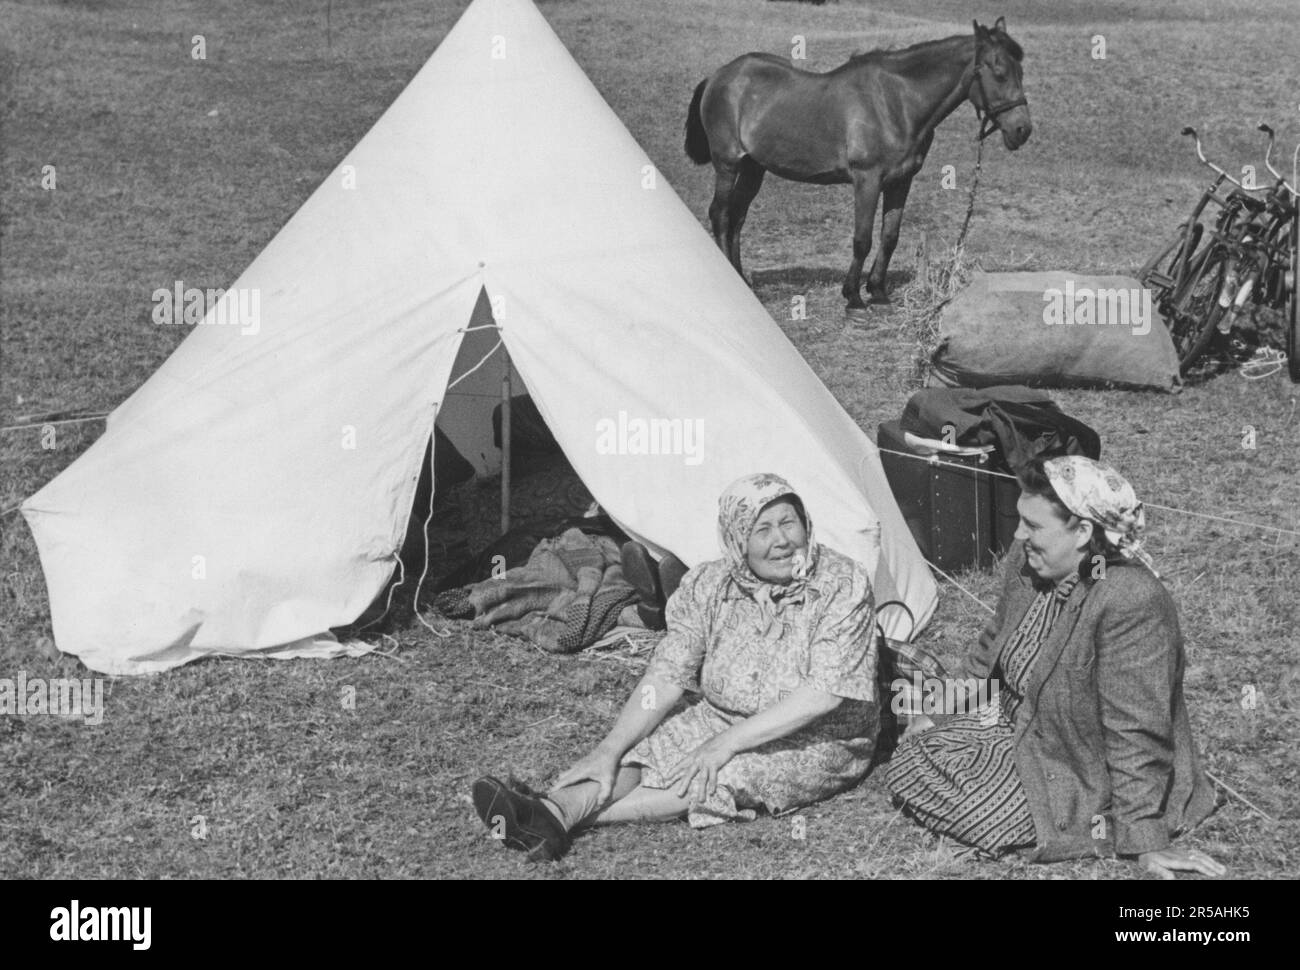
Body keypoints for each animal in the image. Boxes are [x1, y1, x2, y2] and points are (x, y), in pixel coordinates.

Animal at [686, 16, 1029, 308]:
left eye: (1021, 71)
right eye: (999, 71)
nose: (1022, 130)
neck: (896, 102)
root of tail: (719, 75)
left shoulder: (901, 181)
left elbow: (889, 236)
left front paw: (877, 291)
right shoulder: (867, 179)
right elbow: (862, 238)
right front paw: (853, 296)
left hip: (753, 167)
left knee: (737, 217)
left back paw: (741, 279)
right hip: (728, 163)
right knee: (720, 214)